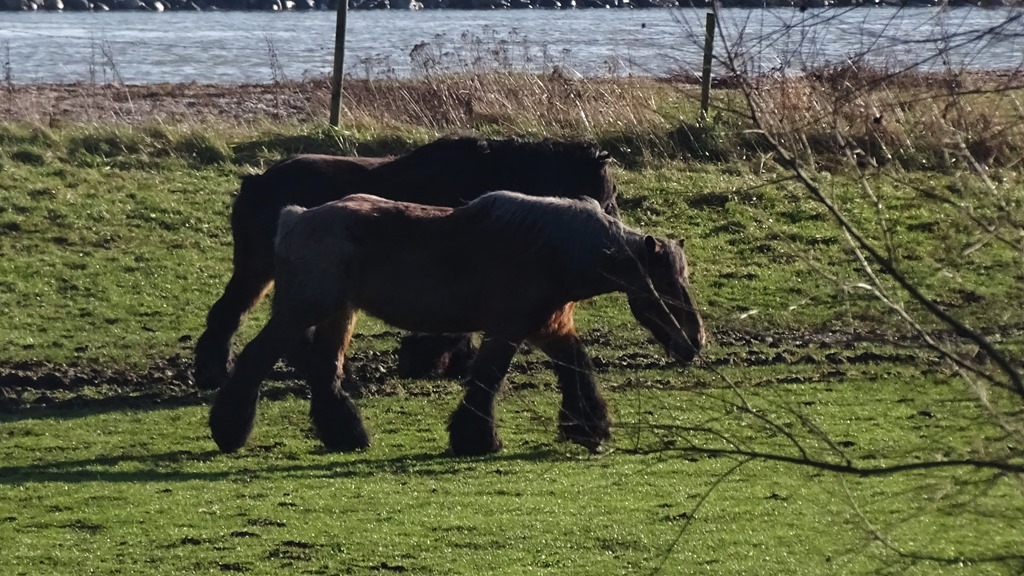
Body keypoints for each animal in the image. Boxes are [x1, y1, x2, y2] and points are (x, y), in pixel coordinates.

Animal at [193, 136, 619, 390]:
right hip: (261, 269)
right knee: (229, 314)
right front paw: (431, 359)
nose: (612, 235)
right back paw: (217, 372)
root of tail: (256, 181)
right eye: (606, 193)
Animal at [209, 191, 704, 456]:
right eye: (668, 284)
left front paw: (588, 427)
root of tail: (294, 218)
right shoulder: (509, 328)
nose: (695, 343)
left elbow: (577, 368)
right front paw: (477, 438)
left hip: (336, 315)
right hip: (306, 311)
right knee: (258, 358)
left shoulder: (550, 328)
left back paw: (346, 434)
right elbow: (489, 378)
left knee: (323, 370)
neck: (554, 246)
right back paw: (230, 431)